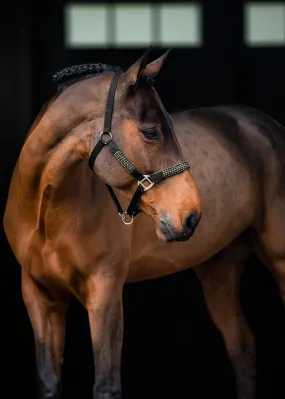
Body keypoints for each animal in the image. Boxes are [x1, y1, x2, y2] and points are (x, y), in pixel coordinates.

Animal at [3, 50, 284, 399]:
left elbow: (106, 385)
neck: (47, 212)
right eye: (151, 132)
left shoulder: (105, 291)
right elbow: (48, 383)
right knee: (242, 346)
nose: (191, 214)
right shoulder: (39, 295)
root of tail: (266, 126)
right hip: (218, 270)